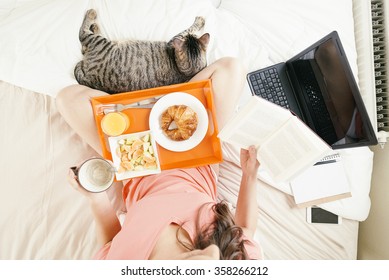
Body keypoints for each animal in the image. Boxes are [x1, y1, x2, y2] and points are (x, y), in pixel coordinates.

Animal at [73, 9, 209, 94]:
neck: (183, 72)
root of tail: (88, 77)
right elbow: (189, 30)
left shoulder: (176, 39)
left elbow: (189, 29)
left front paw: (199, 22)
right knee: (83, 42)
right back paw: (94, 26)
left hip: (98, 42)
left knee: (83, 34)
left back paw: (91, 16)